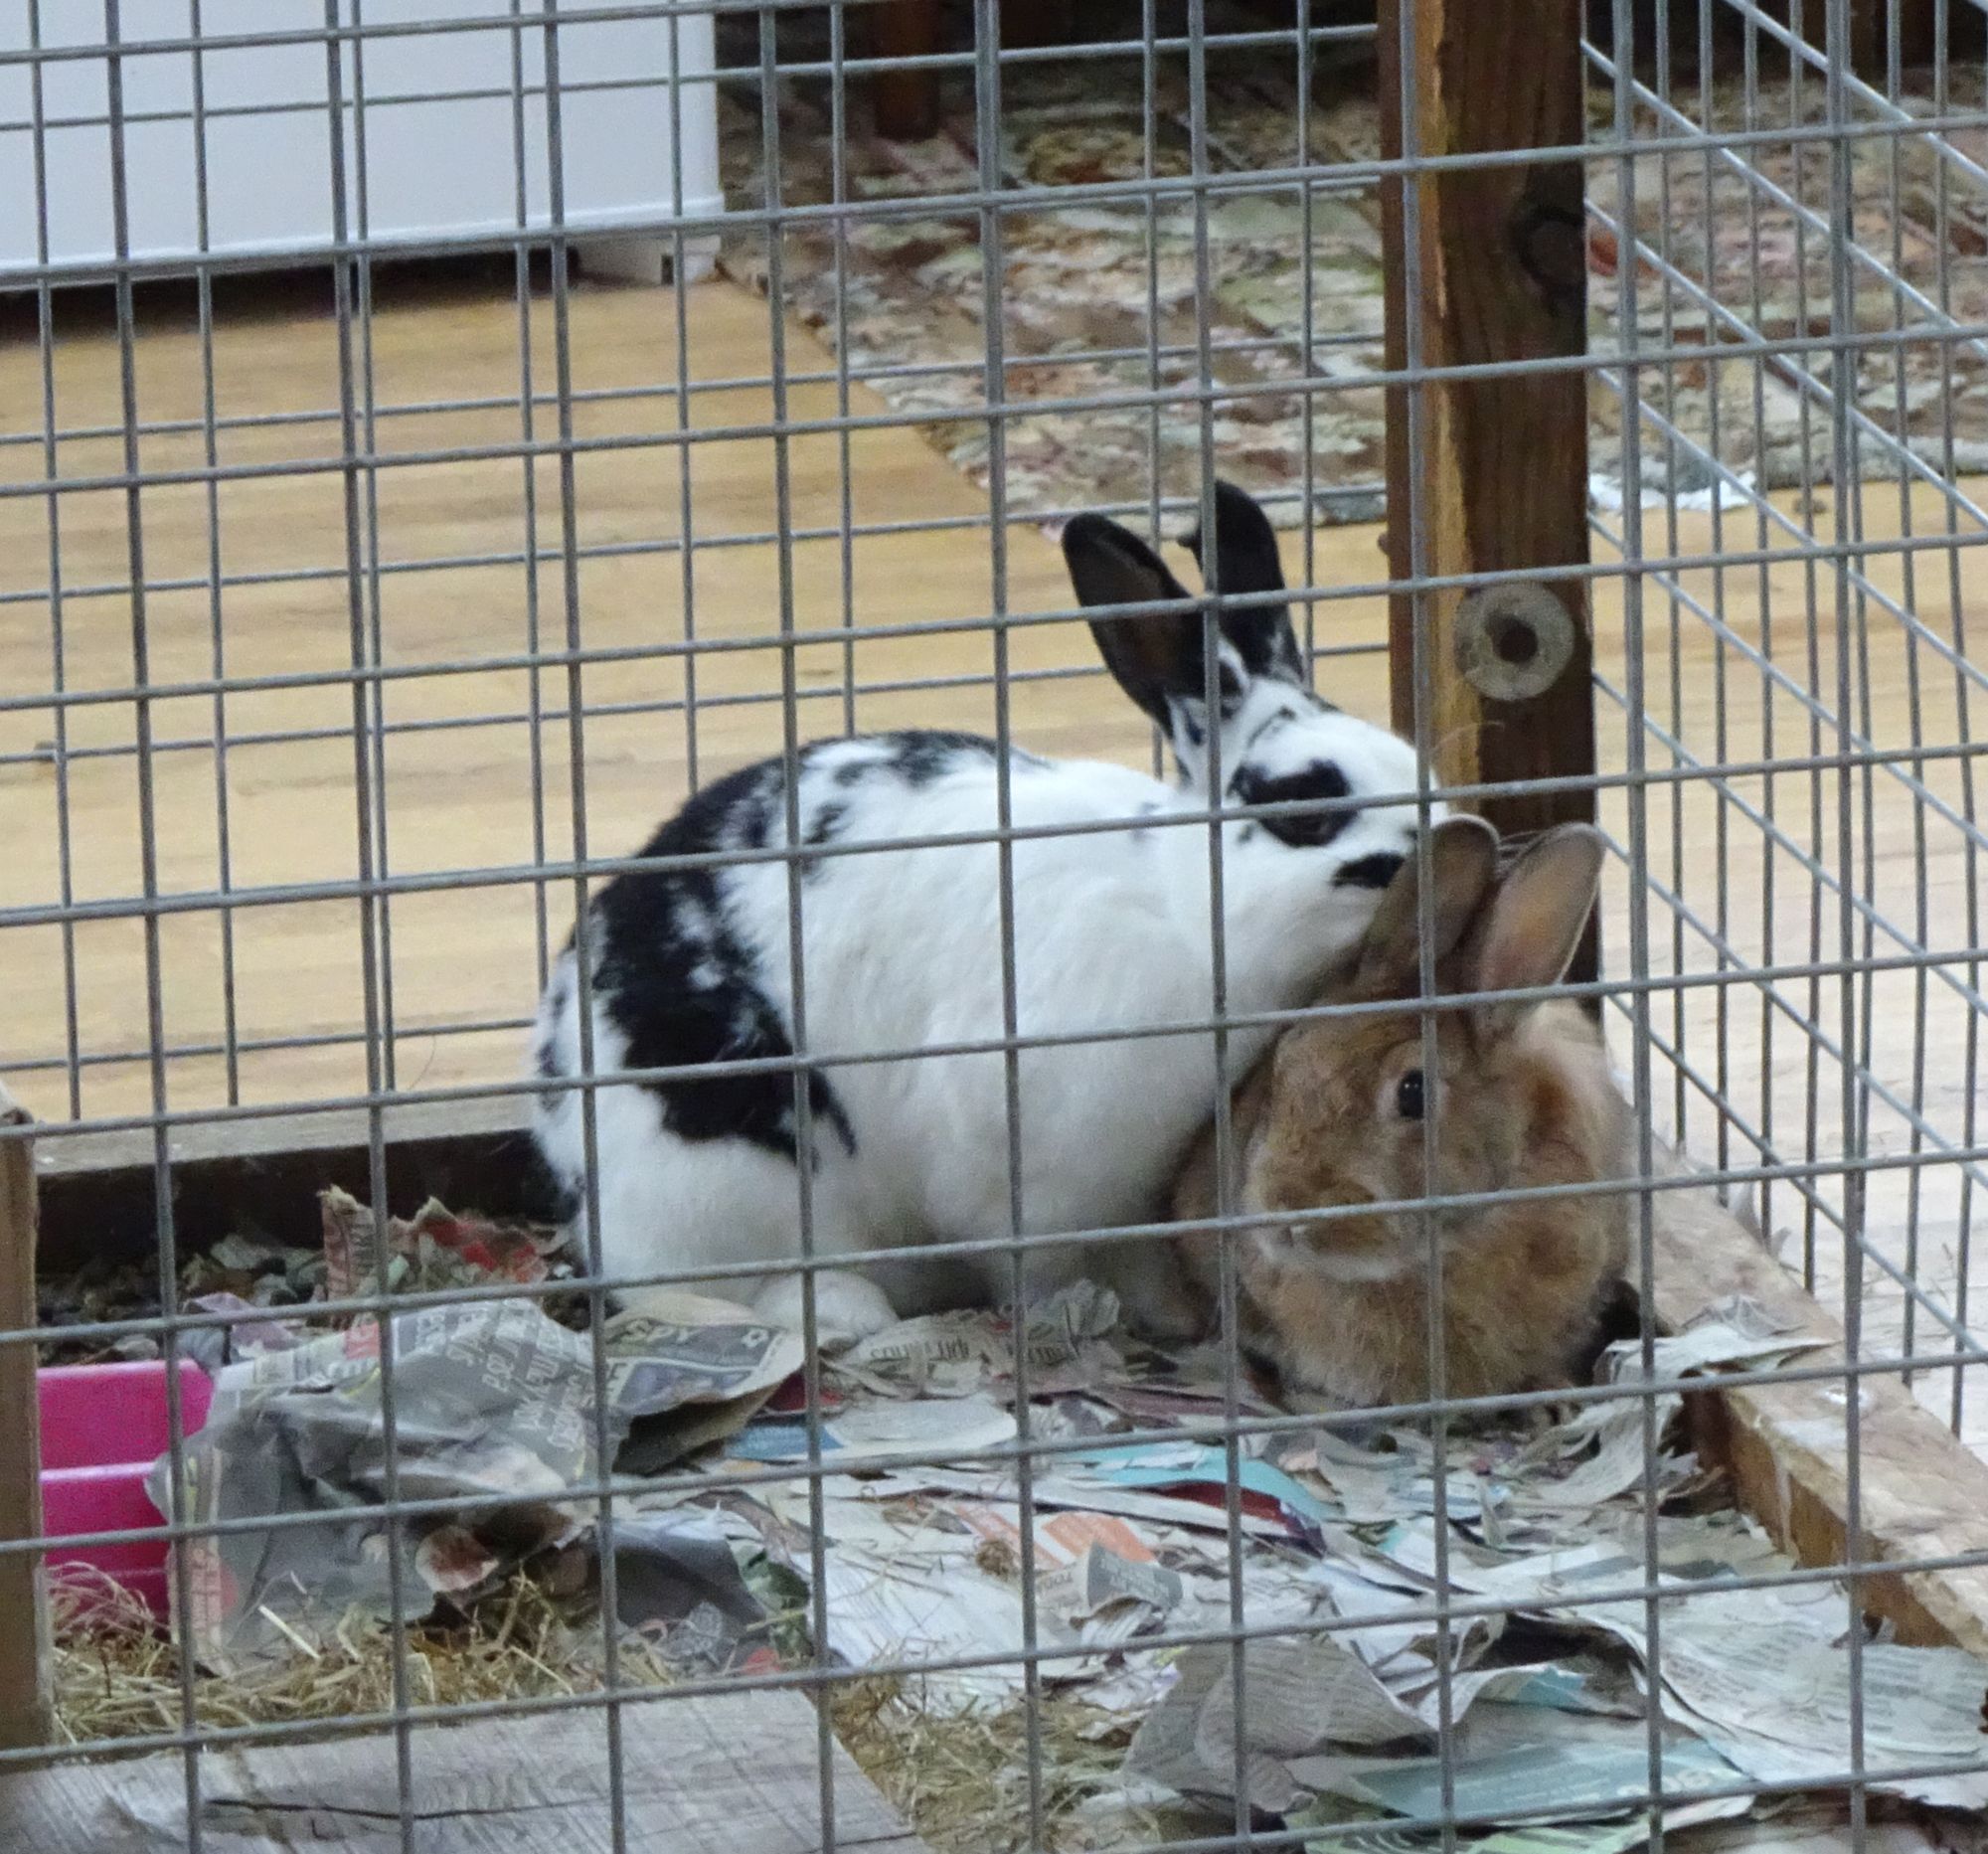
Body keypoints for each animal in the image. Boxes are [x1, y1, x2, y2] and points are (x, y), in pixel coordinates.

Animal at [529, 481, 1439, 1346]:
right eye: (1304, 808)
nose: (1446, 839)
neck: (1181, 910)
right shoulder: (1028, 1177)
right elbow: (1042, 1263)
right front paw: (1094, 1318)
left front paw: (1176, 1316)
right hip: (735, 1181)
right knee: (736, 1284)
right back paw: (851, 1315)